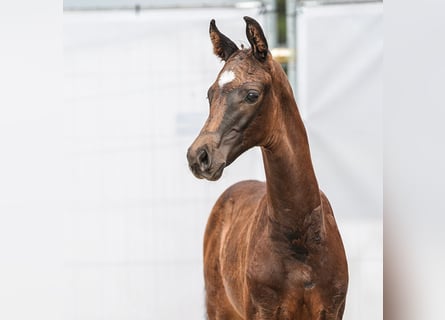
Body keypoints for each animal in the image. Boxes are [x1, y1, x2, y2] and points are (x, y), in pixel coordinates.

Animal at [186, 16, 348, 318]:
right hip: (219, 307)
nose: (198, 156)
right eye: (210, 94)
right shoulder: (263, 311)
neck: (299, 237)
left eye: (252, 94)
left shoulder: (333, 310)